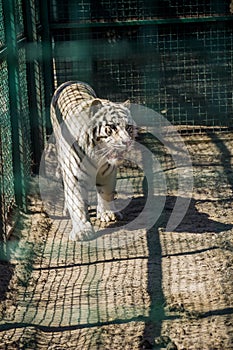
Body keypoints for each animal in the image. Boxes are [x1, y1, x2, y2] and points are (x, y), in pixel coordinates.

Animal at [50, 81, 136, 241]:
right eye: (111, 128)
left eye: (128, 127)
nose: (127, 142)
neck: (97, 156)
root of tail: (71, 82)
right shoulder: (73, 176)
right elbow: (77, 203)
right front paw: (82, 231)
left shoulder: (108, 172)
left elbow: (106, 192)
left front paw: (108, 213)